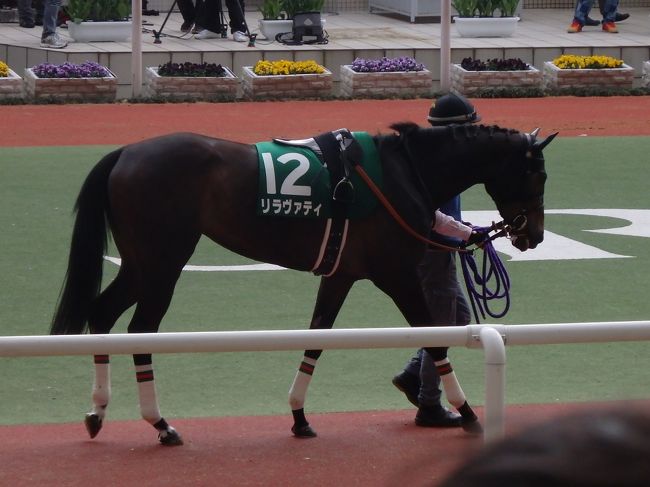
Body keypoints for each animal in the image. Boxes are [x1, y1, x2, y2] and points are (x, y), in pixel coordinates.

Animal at [51, 122, 556, 446]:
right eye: (539, 174)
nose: (533, 234)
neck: (403, 173)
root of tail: (126, 152)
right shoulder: (396, 275)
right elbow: (436, 340)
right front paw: (469, 414)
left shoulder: (341, 274)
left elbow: (317, 337)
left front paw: (298, 415)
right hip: (163, 263)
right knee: (141, 332)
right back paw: (160, 424)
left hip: (140, 263)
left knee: (102, 314)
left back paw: (98, 412)